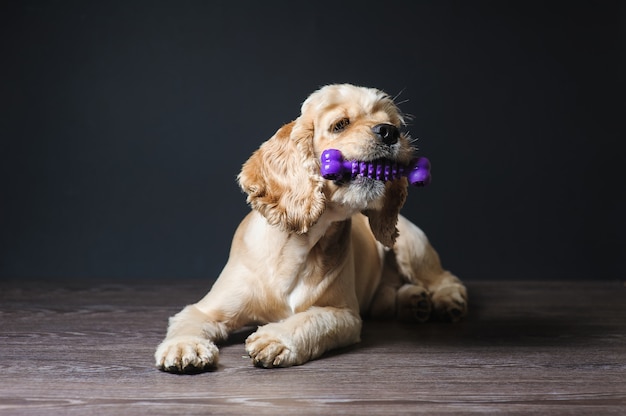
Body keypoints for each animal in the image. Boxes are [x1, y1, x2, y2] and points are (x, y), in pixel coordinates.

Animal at [154, 83, 466, 372]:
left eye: (395, 125)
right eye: (340, 124)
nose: (389, 132)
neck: (299, 247)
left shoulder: (343, 314)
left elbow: (311, 320)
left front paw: (275, 339)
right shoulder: (205, 309)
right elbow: (188, 321)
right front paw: (184, 348)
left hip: (411, 244)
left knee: (442, 277)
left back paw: (446, 299)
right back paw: (414, 302)